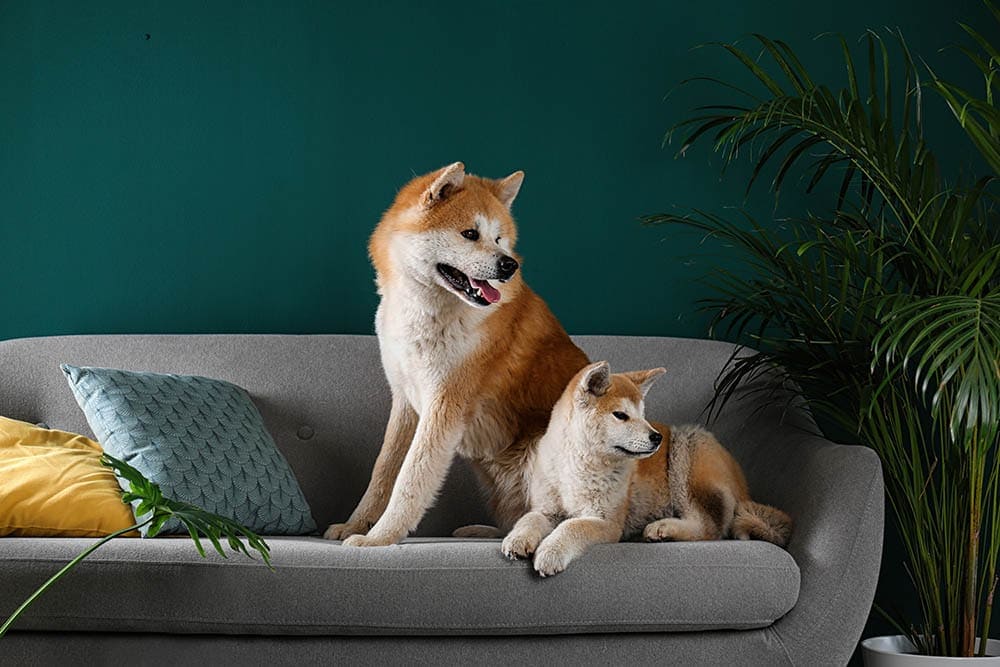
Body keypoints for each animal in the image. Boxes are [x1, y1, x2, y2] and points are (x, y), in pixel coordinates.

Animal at [324, 163, 588, 548]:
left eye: (499, 238)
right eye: (470, 234)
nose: (508, 265)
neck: (425, 313)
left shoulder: (444, 405)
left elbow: (410, 479)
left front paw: (379, 538)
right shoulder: (405, 400)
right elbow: (383, 470)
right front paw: (355, 524)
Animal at [504, 362, 668, 576]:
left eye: (642, 416)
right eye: (621, 415)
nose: (657, 437)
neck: (578, 466)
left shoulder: (607, 522)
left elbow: (572, 525)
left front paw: (550, 551)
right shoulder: (546, 510)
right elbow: (529, 519)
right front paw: (517, 538)